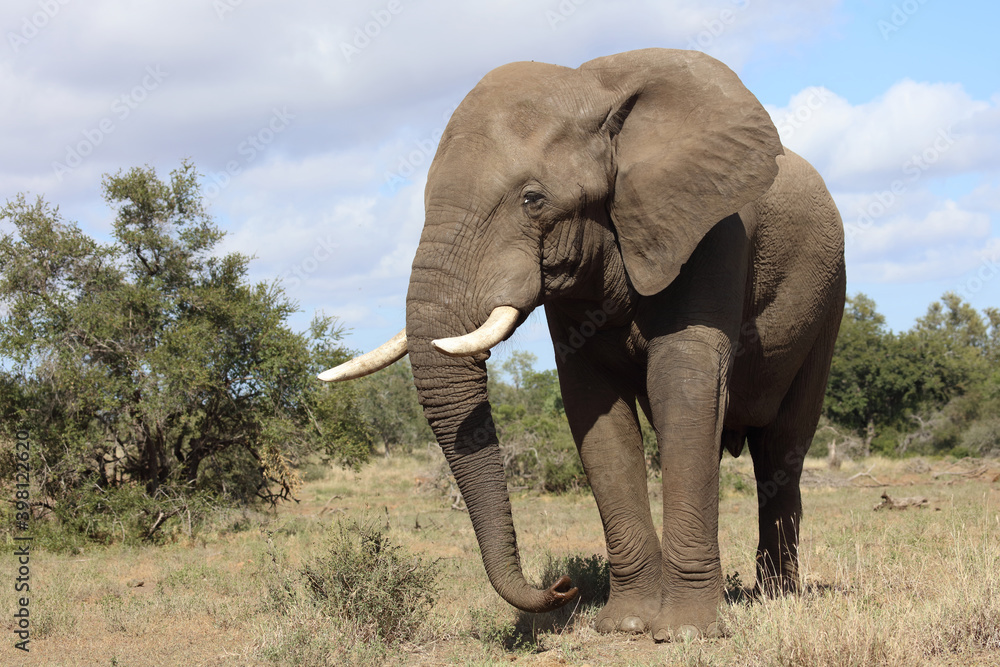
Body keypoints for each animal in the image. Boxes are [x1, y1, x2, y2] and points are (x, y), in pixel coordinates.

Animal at [320, 48, 846, 642]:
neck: (599, 94)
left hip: (828, 300)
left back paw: (777, 596)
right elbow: (594, 410)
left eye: (533, 200)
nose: (563, 585)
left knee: (782, 447)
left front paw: (685, 632)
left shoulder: (712, 229)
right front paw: (626, 625)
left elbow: (683, 385)